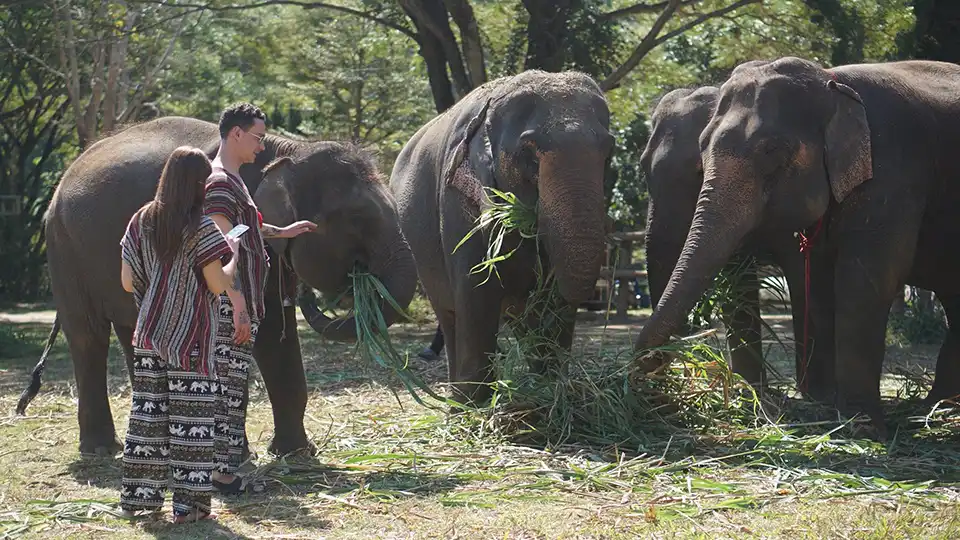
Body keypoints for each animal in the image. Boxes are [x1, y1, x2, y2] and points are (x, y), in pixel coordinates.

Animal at [16, 115, 418, 456]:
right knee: (88, 336)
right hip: (64, 249)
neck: (290, 150)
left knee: (135, 332)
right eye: (357, 219)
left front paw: (296, 453)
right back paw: (100, 449)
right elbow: (266, 327)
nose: (310, 295)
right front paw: (267, 454)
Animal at [390, 70, 614, 404]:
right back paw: (458, 403)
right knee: (450, 315)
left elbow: (552, 297)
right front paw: (478, 407)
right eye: (528, 152)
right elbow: (476, 291)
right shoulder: (456, 202)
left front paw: (550, 393)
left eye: (609, 150)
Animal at [641, 84, 824, 397]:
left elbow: (802, 274)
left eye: (699, 171)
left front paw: (808, 392)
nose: (658, 367)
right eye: (642, 168)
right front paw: (750, 388)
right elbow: (737, 284)